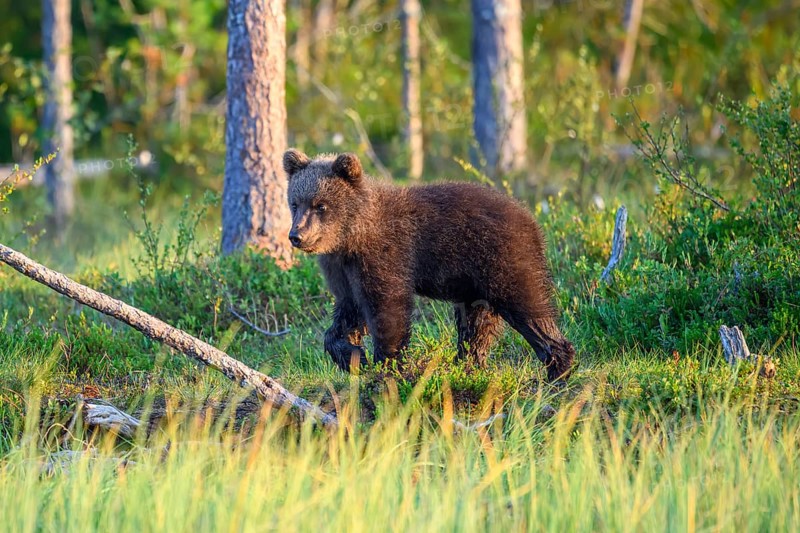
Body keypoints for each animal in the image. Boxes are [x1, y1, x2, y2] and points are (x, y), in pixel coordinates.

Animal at [283, 149, 575, 381]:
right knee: (476, 323)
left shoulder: (386, 255)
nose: (296, 235)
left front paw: (388, 366)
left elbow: (387, 308)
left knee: (527, 305)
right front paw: (353, 355)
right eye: (295, 203)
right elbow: (348, 312)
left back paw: (558, 367)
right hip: (474, 281)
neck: (353, 236)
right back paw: (468, 365)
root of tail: (530, 217)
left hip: (503, 260)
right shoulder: (343, 269)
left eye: (321, 205)